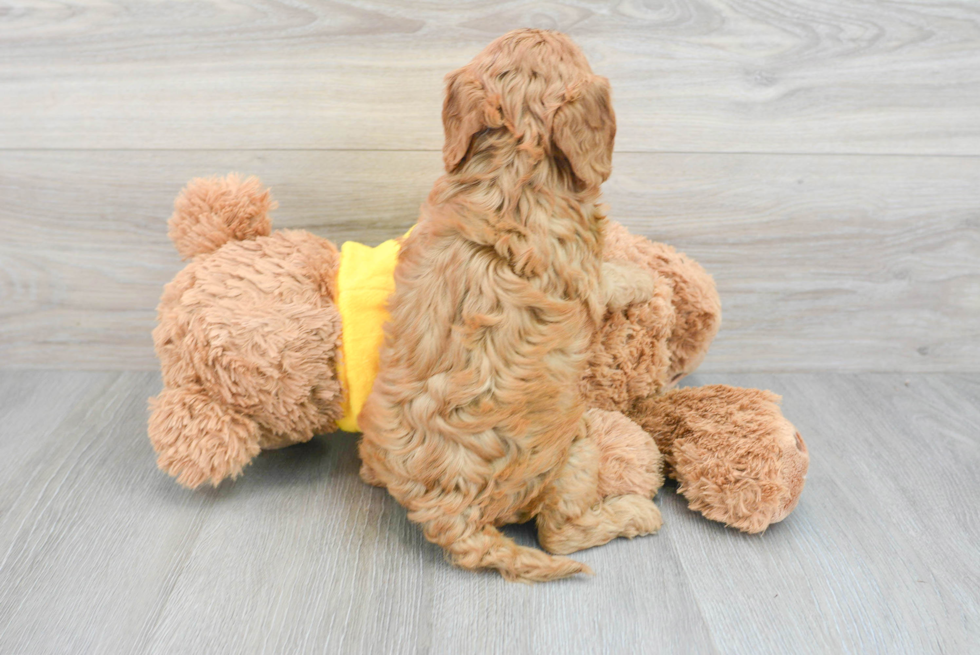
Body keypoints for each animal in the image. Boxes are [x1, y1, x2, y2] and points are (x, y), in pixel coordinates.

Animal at [356, 30, 664, 584]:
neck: (512, 162)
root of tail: (451, 517)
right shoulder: (586, 269)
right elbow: (613, 278)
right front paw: (641, 277)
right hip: (575, 448)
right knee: (559, 533)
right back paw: (633, 512)